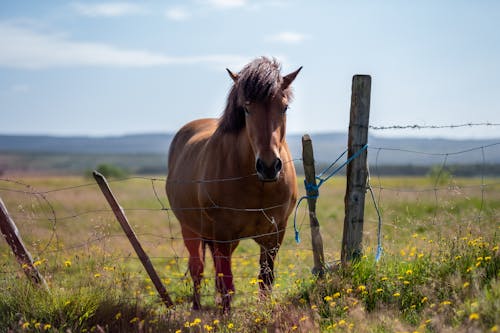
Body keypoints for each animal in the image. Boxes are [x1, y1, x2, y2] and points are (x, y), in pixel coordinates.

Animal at [167, 56, 300, 312]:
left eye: (284, 107)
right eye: (247, 108)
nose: (269, 166)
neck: (258, 185)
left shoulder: (275, 233)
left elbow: (265, 280)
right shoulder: (222, 234)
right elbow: (227, 282)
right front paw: (226, 315)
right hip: (191, 229)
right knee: (198, 268)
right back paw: (196, 307)